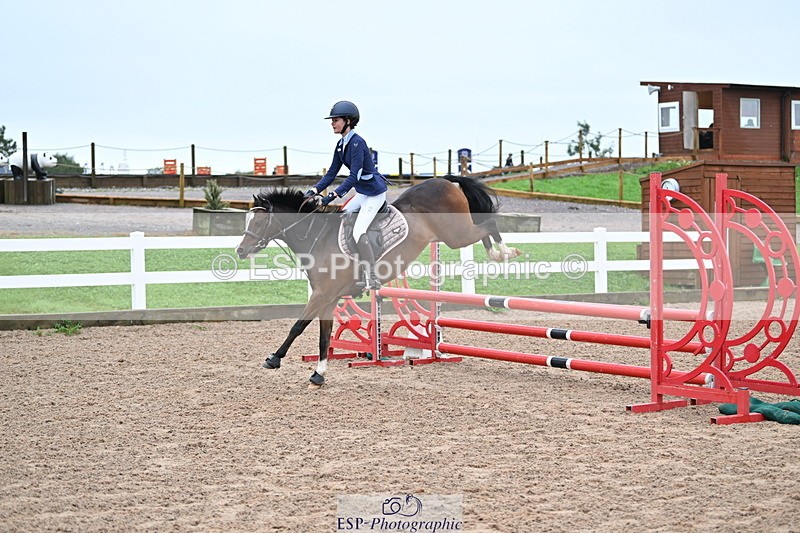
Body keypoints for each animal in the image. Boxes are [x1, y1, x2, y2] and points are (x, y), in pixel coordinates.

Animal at [235, 175, 521, 386]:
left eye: (259, 221)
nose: (240, 251)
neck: (318, 236)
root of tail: (446, 181)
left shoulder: (322, 295)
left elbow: (298, 326)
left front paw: (274, 359)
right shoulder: (329, 298)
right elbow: (324, 336)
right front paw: (319, 373)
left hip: (456, 234)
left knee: (489, 224)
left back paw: (504, 252)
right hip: (456, 234)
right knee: (484, 228)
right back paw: (498, 253)